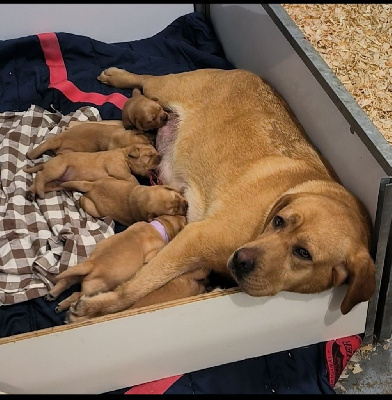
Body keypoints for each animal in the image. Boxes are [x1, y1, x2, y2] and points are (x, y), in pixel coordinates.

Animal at [24, 145, 161, 199]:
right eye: (149, 155)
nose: (161, 157)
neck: (125, 155)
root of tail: (45, 163)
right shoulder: (117, 168)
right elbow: (132, 178)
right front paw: (138, 184)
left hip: (54, 184)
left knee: (39, 182)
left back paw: (32, 193)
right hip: (57, 169)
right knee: (40, 175)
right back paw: (39, 192)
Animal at [45, 214, 204, 314]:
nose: (186, 216)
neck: (160, 226)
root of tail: (92, 264)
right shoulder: (154, 252)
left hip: (79, 269)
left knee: (67, 281)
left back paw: (53, 294)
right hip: (94, 289)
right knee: (77, 293)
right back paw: (65, 304)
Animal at [60, 177, 188, 227]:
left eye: (177, 197)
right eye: (173, 212)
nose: (186, 206)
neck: (142, 197)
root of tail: (92, 185)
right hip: (92, 208)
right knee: (82, 199)